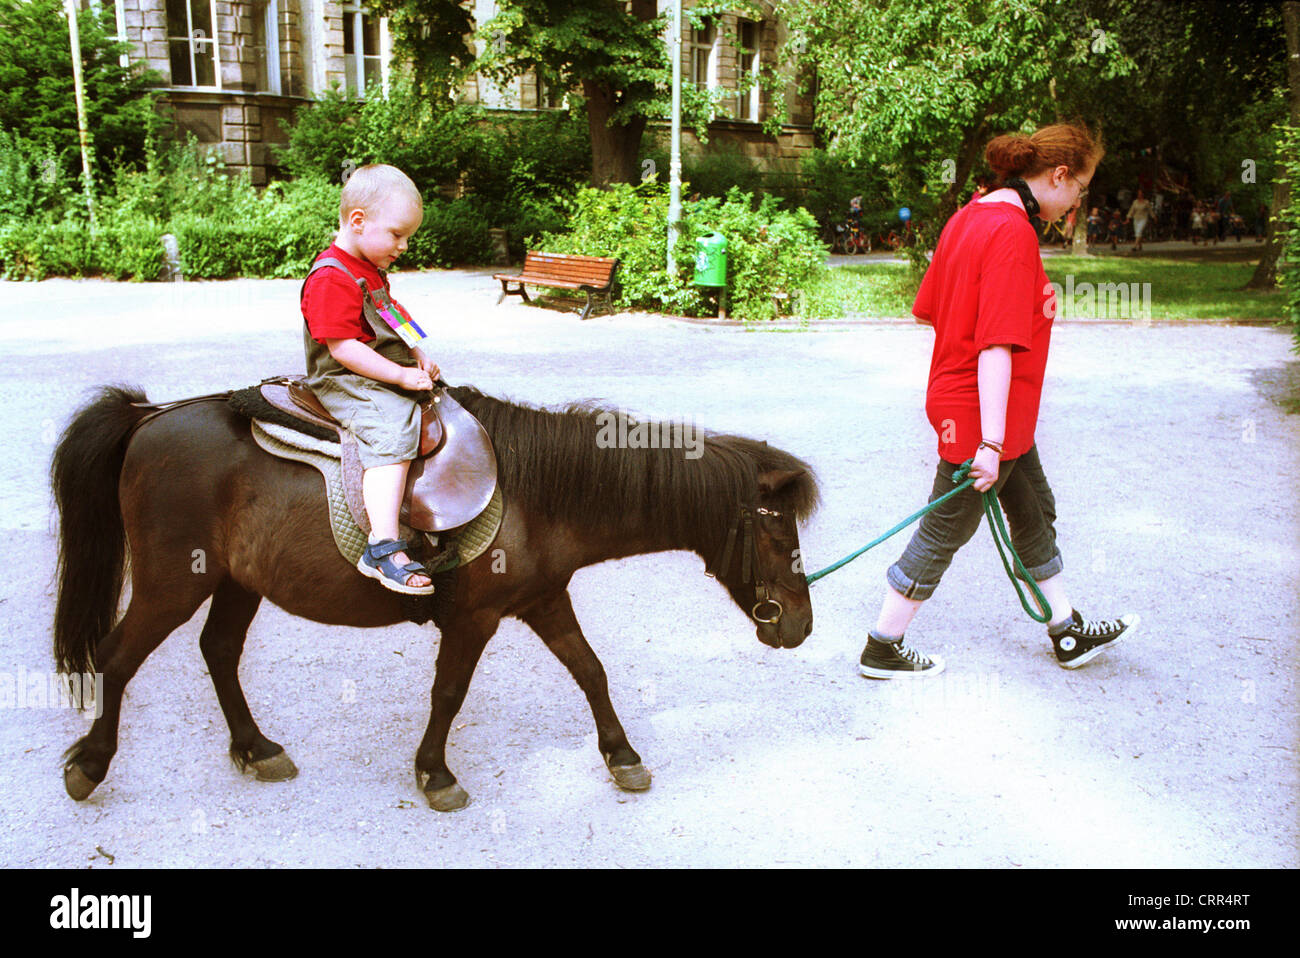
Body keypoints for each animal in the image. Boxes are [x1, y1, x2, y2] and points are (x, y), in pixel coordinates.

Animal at [53, 382, 821, 805]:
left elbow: (591, 671)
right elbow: (449, 694)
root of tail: (148, 415)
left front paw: (623, 757)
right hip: (172, 583)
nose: (800, 625)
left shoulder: (545, 600)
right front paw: (435, 775)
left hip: (236, 581)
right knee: (117, 658)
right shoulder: (474, 618)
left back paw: (256, 748)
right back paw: (90, 763)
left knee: (217, 652)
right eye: (778, 533)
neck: (539, 494)